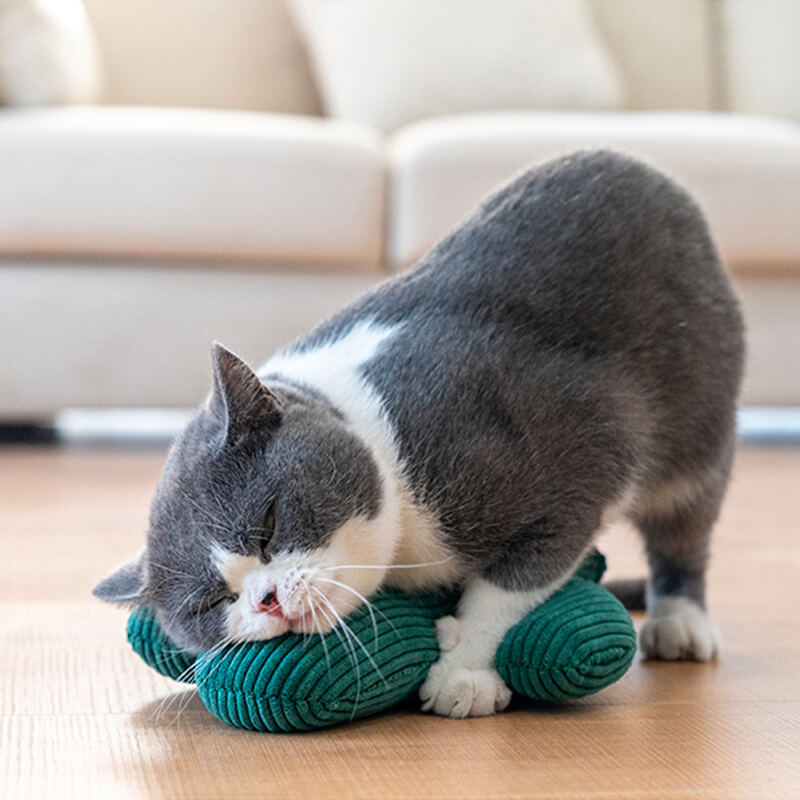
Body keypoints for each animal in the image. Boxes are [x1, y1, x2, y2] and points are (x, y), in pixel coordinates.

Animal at [94, 148, 744, 720]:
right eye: (211, 603)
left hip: (699, 428)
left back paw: (679, 621)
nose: (266, 599)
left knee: (683, 531)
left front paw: (464, 672)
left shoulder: (580, 443)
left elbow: (515, 577)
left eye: (268, 525)